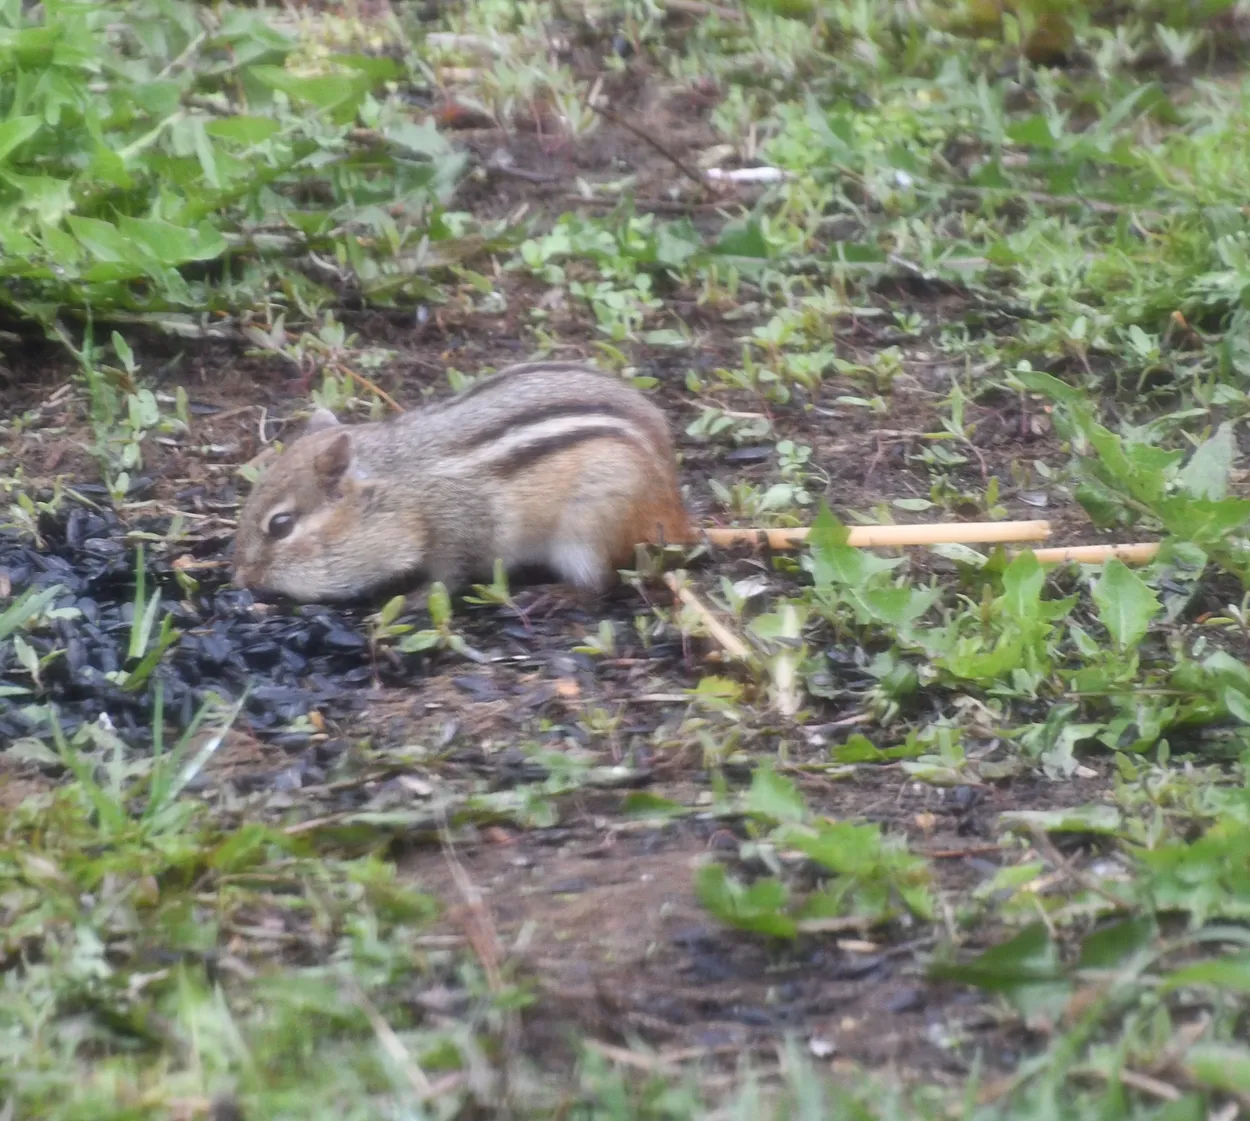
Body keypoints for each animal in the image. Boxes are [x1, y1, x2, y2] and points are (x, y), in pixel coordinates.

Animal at [231, 360, 693, 603]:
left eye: (280, 525)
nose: (240, 579)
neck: (402, 489)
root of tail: (674, 513)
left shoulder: (461, 532)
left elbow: (449, 578)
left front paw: (415, 600)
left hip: (590, 529)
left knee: (599, 583)